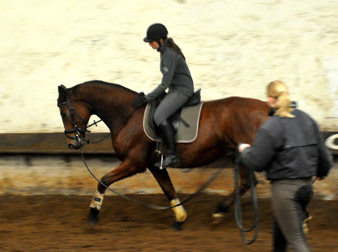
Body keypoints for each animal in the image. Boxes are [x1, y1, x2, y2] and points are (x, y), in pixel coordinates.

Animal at [57, 80, 270, 228]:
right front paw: (180, 217)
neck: (127, 116)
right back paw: (220, 210)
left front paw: (93, 213)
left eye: (65, 113)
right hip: (236, 154)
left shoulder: (135, 162)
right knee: (245, 183)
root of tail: (266, 108)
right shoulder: (153, 164)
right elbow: (168, 189)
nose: (72, 143)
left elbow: (103, 180)